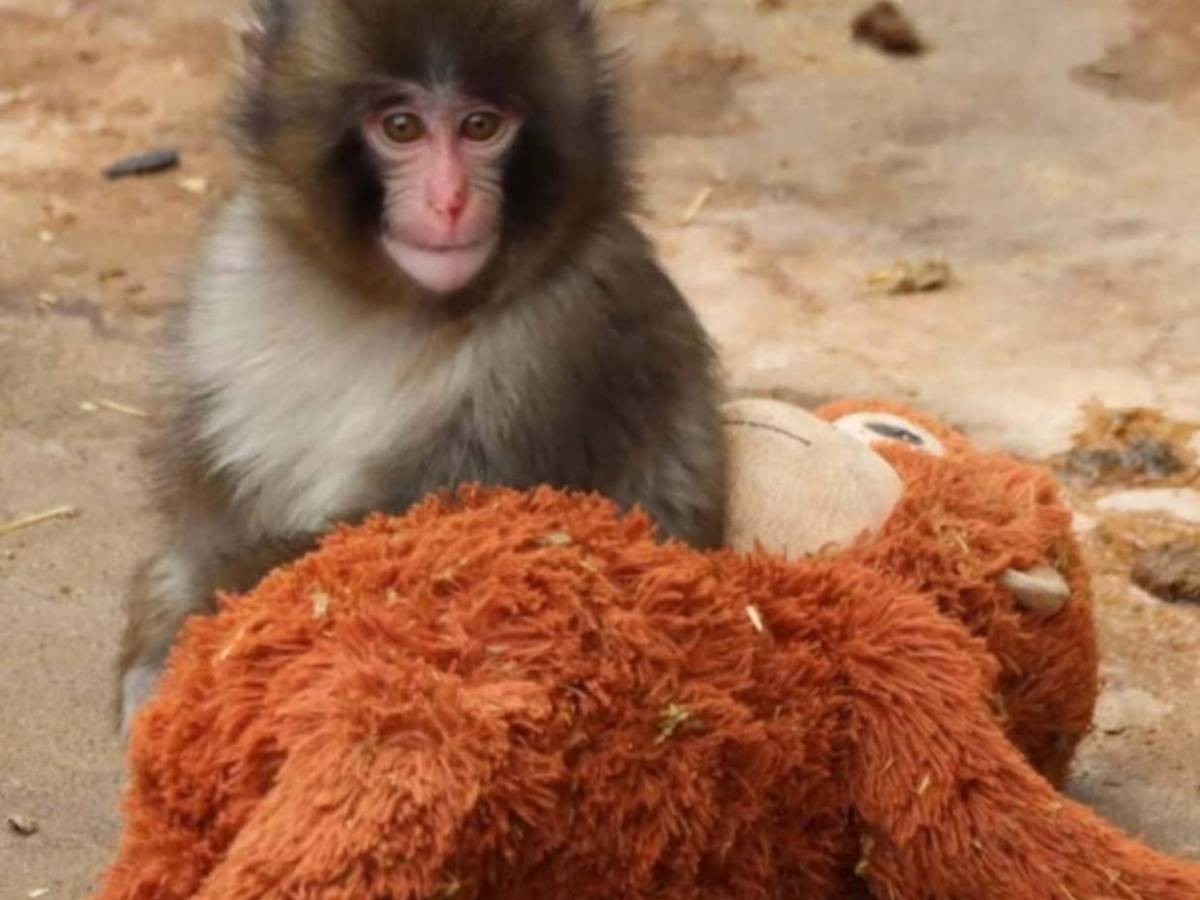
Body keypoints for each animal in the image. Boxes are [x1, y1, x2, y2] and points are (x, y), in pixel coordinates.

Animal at [116, 0, 728, 736]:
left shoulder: (565, 338)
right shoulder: (229, 274)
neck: (394, 302)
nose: (449, 201)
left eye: (481, 126)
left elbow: (407, 564)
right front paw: (157, 631)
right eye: (401, 127)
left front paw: (176, 619)